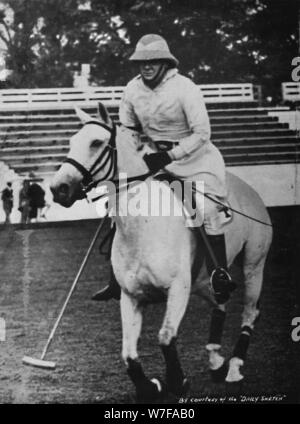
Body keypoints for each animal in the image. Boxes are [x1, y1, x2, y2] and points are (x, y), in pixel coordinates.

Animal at [51, 103, 272, 400]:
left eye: (96, 142)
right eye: (72, 142)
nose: (58, 189)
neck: (144, 225)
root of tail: (251, 192)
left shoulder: (178, 289)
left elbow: (166, 337)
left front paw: (178, 382)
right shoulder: (131, 296)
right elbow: (128, 356)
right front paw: (151, 386)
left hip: (253, 266)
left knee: (249, 312)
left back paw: (235, 367)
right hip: (204, 280)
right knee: (220, 303)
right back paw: (216, 361)